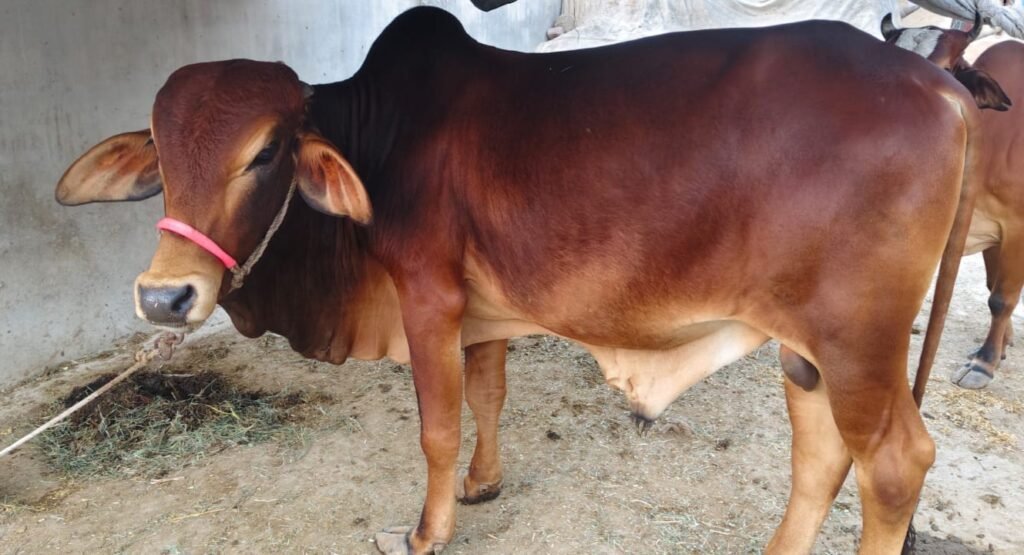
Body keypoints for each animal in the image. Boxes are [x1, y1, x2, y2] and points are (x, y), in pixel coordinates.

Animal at [56, 7, 981, 554]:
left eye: (266, 151)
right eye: (160, 151)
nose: (165, 296)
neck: (376, 132)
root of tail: (941, 86)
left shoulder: (428, 295)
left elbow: (436, 424)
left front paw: (428, 528)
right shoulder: (484, 311)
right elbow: (489, 395)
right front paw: (484, 482)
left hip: (857, 343)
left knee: (894, 465)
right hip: (807, 349)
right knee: (820, 457)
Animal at [883, 14, 1021, 389]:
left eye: (945, 69)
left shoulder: (1017, 230)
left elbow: (1001, 298)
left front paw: (984, 363)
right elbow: (993, 288)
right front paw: (1002, 346)